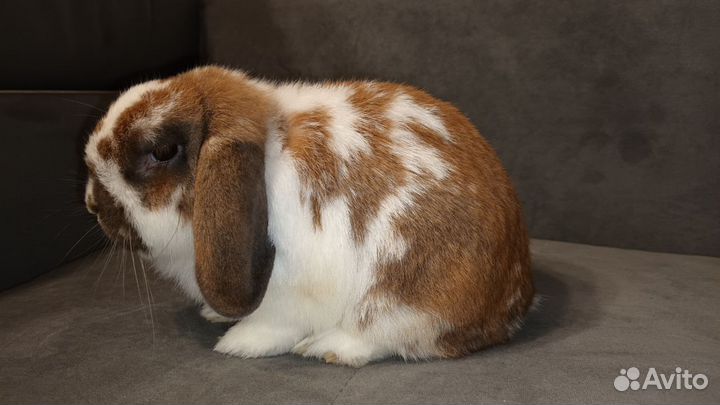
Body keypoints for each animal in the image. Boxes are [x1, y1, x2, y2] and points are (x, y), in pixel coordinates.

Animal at [83, 66, 534, 367]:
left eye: (161, 151)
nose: (91, 203)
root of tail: (510, 310)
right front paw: (215, 314)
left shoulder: (294, 293)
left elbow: (274, 325)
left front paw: (239, 342)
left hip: (407, 294)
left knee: (388, 336)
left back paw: (328, 348)